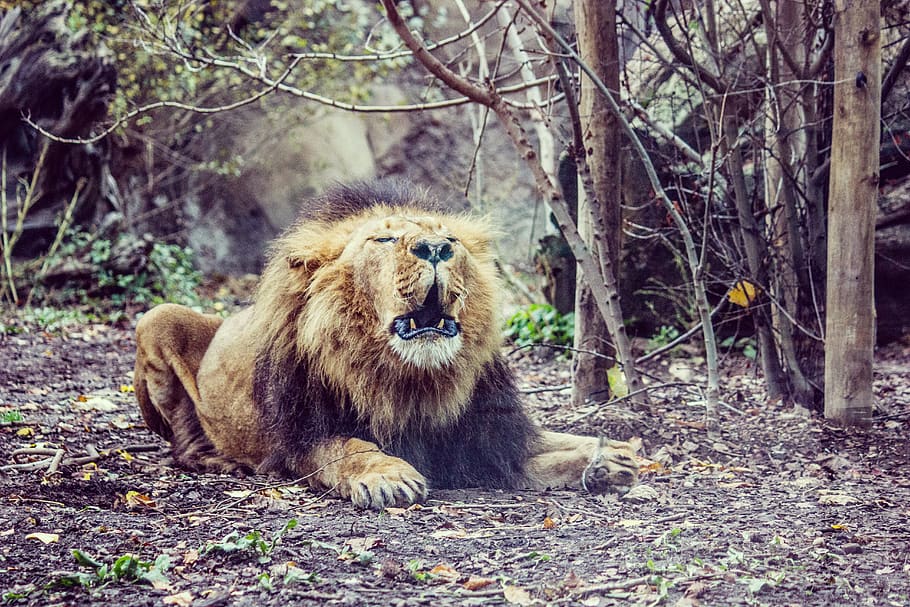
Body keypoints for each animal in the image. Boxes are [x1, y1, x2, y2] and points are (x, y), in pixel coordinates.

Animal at [134, 179, 639, 509]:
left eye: (451, 239)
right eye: (384, 238)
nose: (435, 248)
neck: (412, 379)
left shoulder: (490, 435)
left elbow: (551, 445)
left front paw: (610, 456)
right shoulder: (300, 439)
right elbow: (348, 448)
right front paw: (387, 475)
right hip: (156, 318)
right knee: (182, 441)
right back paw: (220, 460)